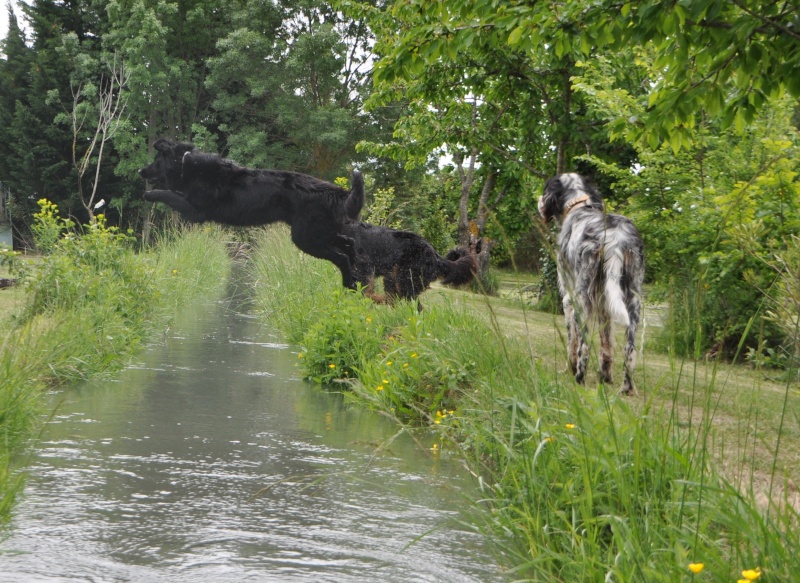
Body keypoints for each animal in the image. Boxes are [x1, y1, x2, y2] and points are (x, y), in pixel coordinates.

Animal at [139, 139, 364, 286]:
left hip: (306, 238)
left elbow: (167, 194)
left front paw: (149, 195)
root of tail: (338, 192)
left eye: (156, 160)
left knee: (342, 256)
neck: (185, 164)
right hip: (319, 233)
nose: (141, 171)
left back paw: (350, 283)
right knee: (350, 244)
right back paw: (357, 278)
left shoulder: (195, 210)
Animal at [344, 221, 476, 306]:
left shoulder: (364, 271)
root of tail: (435, 256)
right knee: (394, 300)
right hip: (393, 279)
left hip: (406, 281)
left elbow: (364, 291)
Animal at [536, 172, 644, 392]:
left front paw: (568, 368)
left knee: (584, 345)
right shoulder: (604, 304)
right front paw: (605, 376)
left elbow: (572, 342)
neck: (578, 206)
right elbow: (606, 345)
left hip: (582, 300)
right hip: (633, 302)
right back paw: (626, 388)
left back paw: (579, 378)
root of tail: (615, 239)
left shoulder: (568, 299)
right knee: (629, 351)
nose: (539, 201)